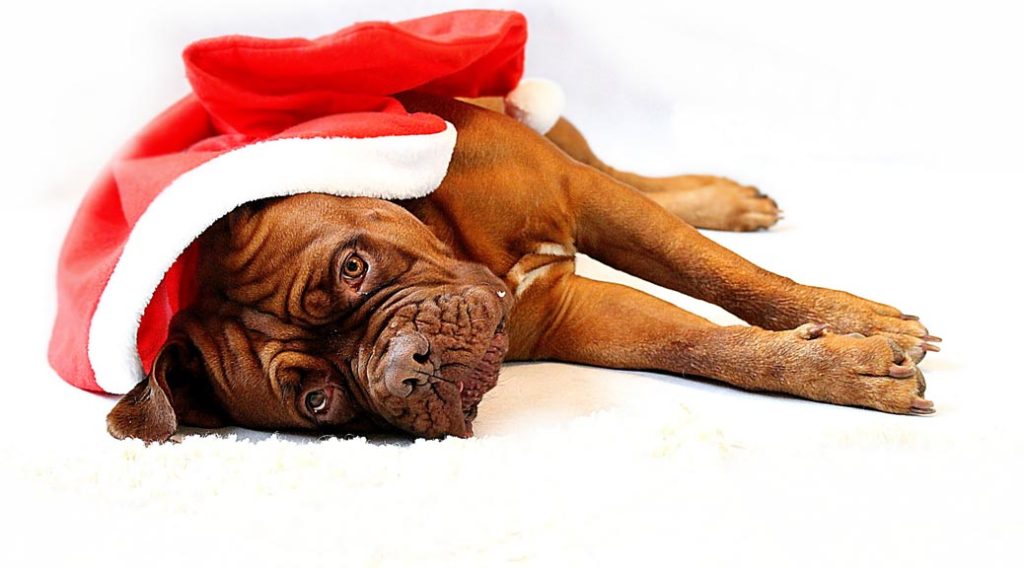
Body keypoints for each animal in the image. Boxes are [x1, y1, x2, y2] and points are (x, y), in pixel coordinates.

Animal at [108, 91, 937, 442]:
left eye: (352, 269)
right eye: (318, 401)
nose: (405, 369)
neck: (455, 238)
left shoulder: (583, 194)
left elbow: (720, 274)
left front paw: (855, 319)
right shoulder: (583, 315)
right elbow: (702, 343)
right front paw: (838, 367)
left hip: (560, 131)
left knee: (629, 174)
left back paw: (725, 200)